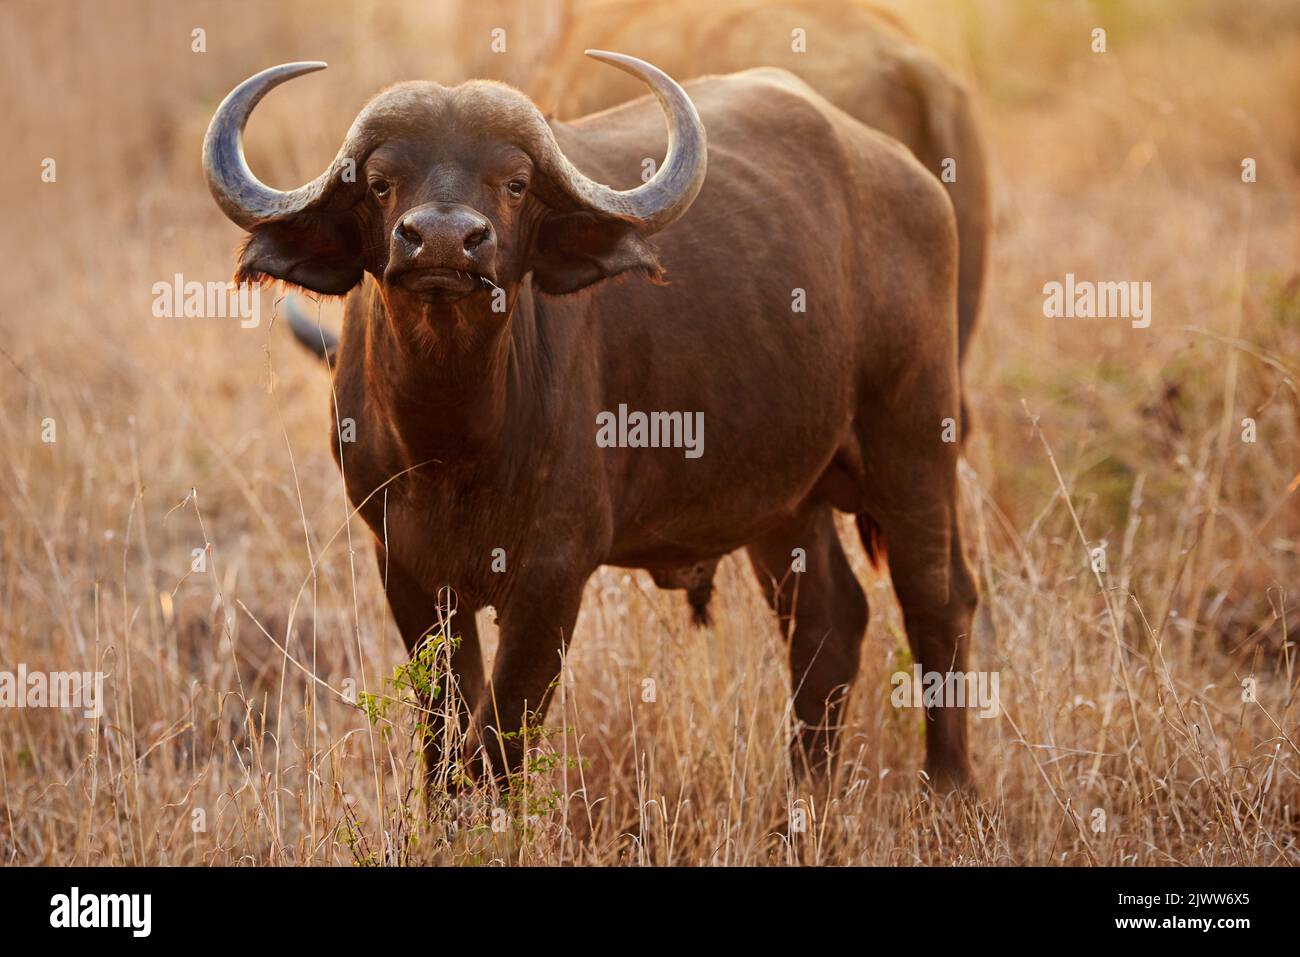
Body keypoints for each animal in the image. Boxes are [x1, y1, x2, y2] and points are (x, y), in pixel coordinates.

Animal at [200, 52, 977, 790]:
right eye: (383, 182)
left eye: (514, 183)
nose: (445, 242)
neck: (453, 442)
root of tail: (911, 179)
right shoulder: (407, 568)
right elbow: (446, 738)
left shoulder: (553, 574)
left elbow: (498, 742)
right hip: (785, 501)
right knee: (827, 623)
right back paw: (804, 793)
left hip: (915, 441)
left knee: (938, 602)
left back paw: (947, 787)